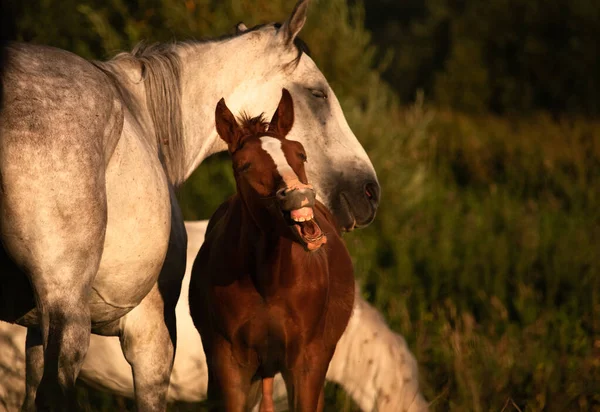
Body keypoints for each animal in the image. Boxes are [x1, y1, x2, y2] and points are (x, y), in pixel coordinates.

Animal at [190, 88, 354, 410]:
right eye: (244, 165)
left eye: (300, 153)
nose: (298, 195)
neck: (270, 282)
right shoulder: (230, 365)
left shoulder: (307, 365)